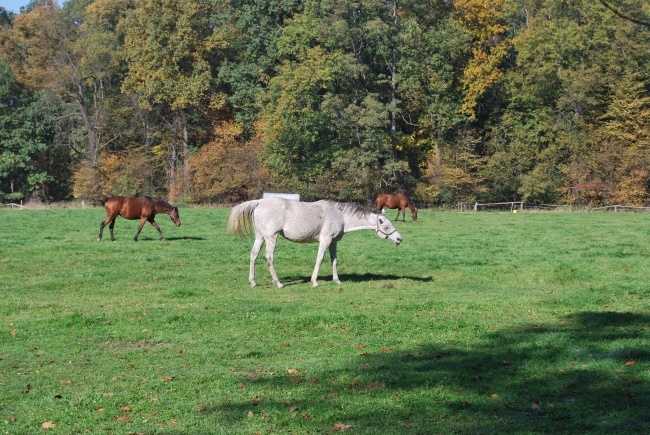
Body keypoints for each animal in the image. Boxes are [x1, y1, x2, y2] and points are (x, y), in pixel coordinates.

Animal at [227, 198, 400, 288]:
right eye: (386, 226)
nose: (399, 239)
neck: (339, 215)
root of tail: (260, 202)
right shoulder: (325, 240)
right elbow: (320, 259)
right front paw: (314, 281)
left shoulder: (333, 242)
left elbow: (334, 261)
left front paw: (337, 280)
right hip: (271, 238)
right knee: (269, 258)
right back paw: (278, 283)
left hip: (260, 237)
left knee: (253, 256)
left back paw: (253, 282)